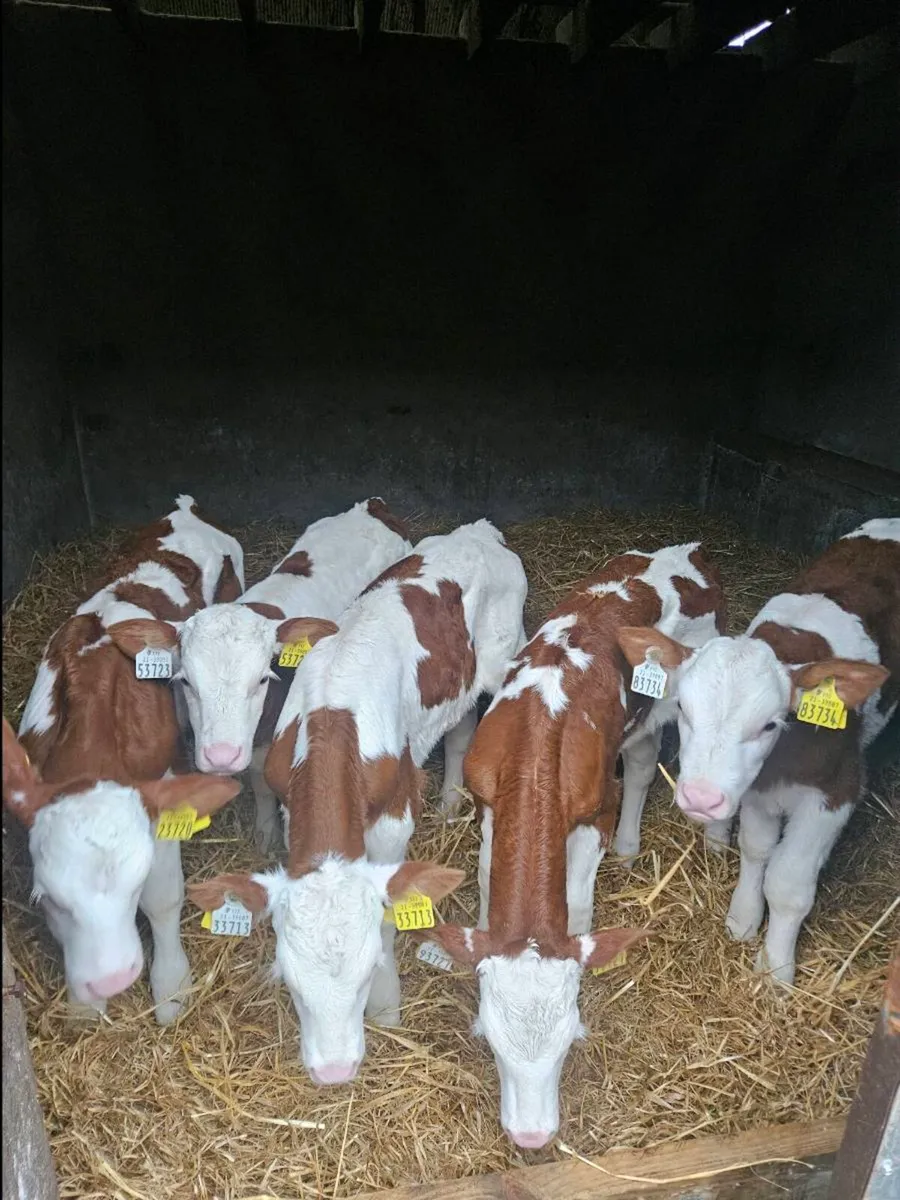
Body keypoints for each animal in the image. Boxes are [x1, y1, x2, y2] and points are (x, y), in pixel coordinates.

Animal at [6, 495, 245, 1023]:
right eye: (46, 898)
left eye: (134, 884)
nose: (112, 979)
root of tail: (186, 508)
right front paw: (83, 1006)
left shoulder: (165, 790)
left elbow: (165, 898)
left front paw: (172, 988)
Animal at [124, 497, 412, 852]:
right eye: (187, 682)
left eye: (262, 679)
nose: (221, 756)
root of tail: (372, 506)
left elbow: (261, 779)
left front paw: (265, 832)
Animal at [186, 519, 529, 1083]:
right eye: (289, 980)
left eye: (367, 972)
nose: (334, 1070)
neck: (334, 717)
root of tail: (479, 531)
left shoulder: (393, 821)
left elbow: (390, 913)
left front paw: (388, 1007)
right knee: (458, 729)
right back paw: (451, 803)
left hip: (512, 653)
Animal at [423, 542, 727, 1148]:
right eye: (490, 1041)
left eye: (570, 1040)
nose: (532, 1137)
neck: (539, 730)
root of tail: (688, 551)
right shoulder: (490, 803)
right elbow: (489, 883)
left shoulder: (595, 809)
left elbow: (580, 903)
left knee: (641, 765)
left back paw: (630, 846)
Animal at [616, 518, 899, 985]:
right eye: (683, 709)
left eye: (769, 724)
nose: (701, 798)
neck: (783, 762)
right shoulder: (756, 790)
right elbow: (756, 850)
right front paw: (743, 918)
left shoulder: (837, 793)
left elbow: (787, 882)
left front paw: (777, 969)